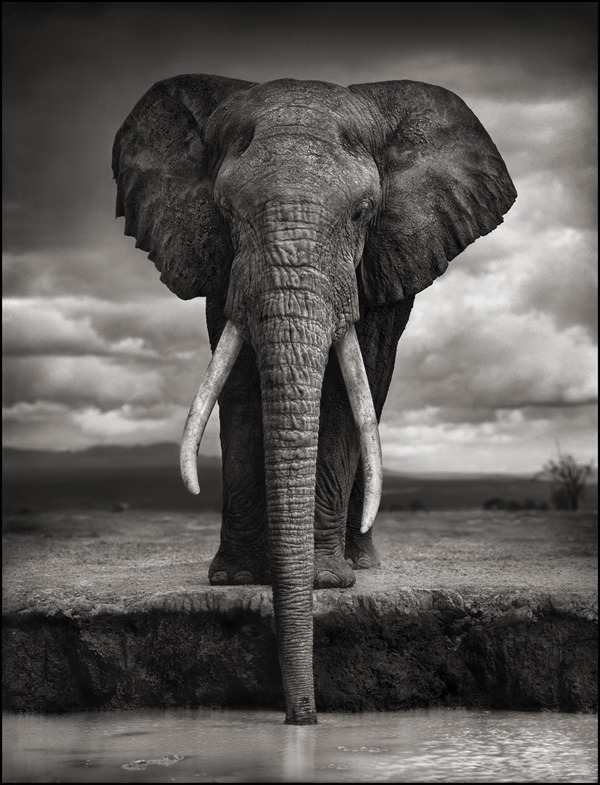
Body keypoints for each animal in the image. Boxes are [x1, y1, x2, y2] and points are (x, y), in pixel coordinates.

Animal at [112, 74, 516, 724]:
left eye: (363, 212)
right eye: (226, 211)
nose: (302, 716)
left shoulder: (375, 261)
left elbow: (349, 392)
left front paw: (326, 583)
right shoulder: (222, 266)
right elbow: (240, 385)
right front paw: (237, 579)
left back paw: (361, 563)